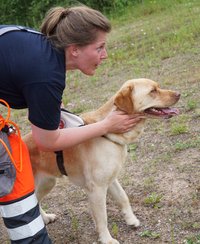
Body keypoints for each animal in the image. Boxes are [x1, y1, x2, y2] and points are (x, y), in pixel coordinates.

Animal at [23, 79, 180, 243]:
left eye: (158, 86)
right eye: (153, 91)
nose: (178, 94)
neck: (109, 135)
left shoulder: (111, 179)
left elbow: (123, 198)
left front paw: (131, 219)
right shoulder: (97, 189)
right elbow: (102, 218)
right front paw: (106, 239)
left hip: (47, 182)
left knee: (36, 201)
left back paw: (46, 218)